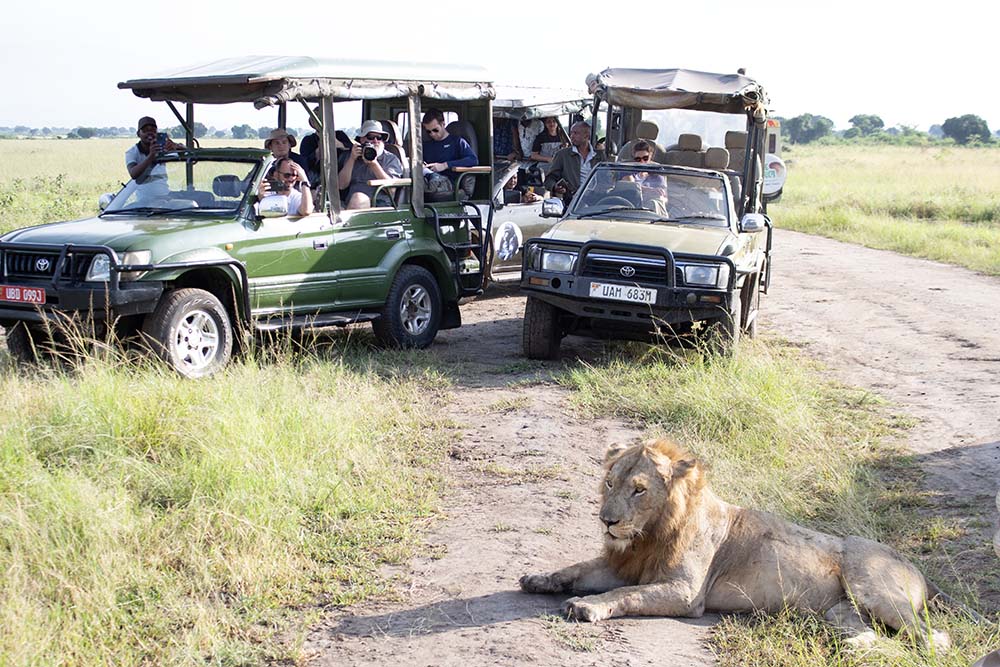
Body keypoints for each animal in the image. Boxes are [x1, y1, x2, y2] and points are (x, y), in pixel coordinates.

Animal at [520, 440, 948, 648]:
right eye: (609, 483)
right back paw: (852, 649)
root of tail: (916, 568)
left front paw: (586, 606)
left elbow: (625, 593)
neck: (649, 534)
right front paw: (540, 578)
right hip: (840, 611)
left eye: (639, 490)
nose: (607, 521)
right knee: (869, 633)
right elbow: (579, 568)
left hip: (874, 590)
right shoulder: (624, 564)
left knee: (935, 639)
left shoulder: (686, 592)